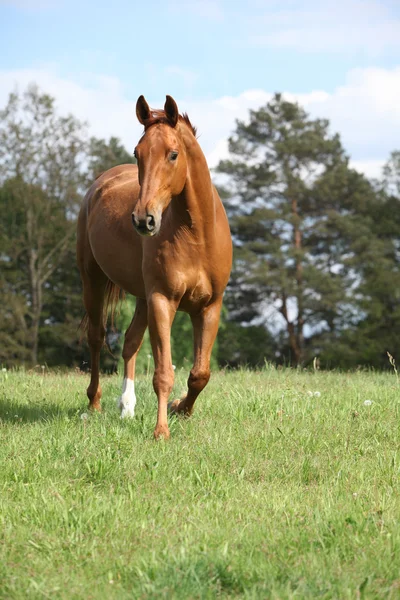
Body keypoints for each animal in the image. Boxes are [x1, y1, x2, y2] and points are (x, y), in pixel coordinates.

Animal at [76, 95, 231, 440]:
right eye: (138, 153)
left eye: (173, 154)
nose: (142, 220)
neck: (195, 234)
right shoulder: (163, 300)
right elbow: (163, 374)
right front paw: (161, 431)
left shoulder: (209, 307)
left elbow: (200, 374)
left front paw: (179, 409)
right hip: (93, 280)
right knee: (96, 337)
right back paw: (94, 403)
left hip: (142, 298)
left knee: (130, 342)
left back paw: (126, 407)